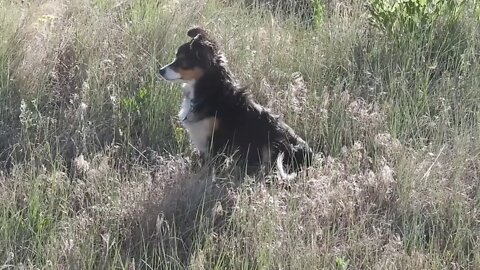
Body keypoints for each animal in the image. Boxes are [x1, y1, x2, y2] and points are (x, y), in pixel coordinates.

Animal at [159, 27, 314, 179]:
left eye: (182, 59)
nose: (160, 71)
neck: (211, 91)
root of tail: (312, 156)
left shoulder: (219, 140)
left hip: (277, 144)